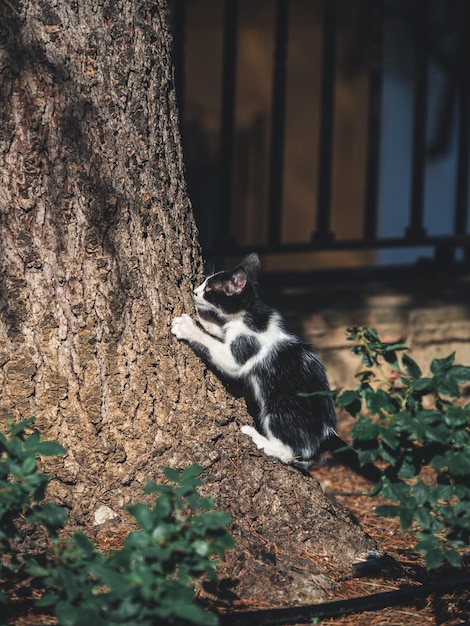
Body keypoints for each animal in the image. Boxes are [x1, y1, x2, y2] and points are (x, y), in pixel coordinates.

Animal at [171, 252, 344, 468]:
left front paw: (187, 326)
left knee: (289, 453)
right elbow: (219, 331)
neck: (249, 313)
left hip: (280, 409)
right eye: (204, 283)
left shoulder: (244, 350)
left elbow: (217, 350)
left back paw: (256, 436)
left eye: (209, 288)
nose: (194, 292)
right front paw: (205, 318)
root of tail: (327, 432)